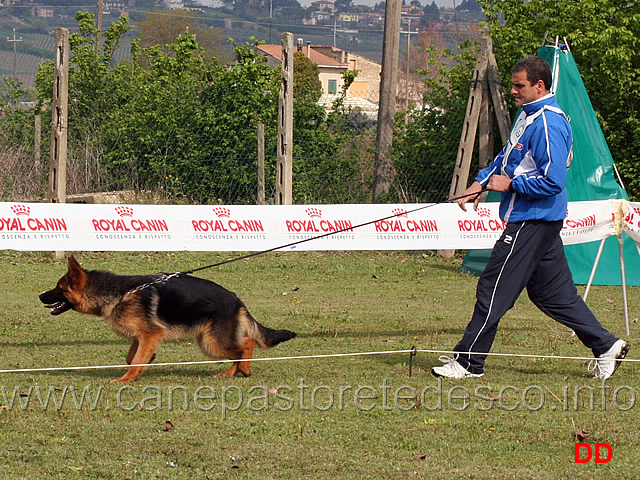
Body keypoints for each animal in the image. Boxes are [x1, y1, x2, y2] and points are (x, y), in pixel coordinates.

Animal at [41, 255, 296, 382]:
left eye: (58, 288)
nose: (40, 295)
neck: (120, 293)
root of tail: (236, 299)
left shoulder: (152, 333)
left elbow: (135, 361)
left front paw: (126, 380)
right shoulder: (142, 335)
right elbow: (132, 357)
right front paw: (147, 361)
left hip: (211, 342)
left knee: (247, 344)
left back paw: (245, 369)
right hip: (209, 342)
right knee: (239, 350)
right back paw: (230, 373)